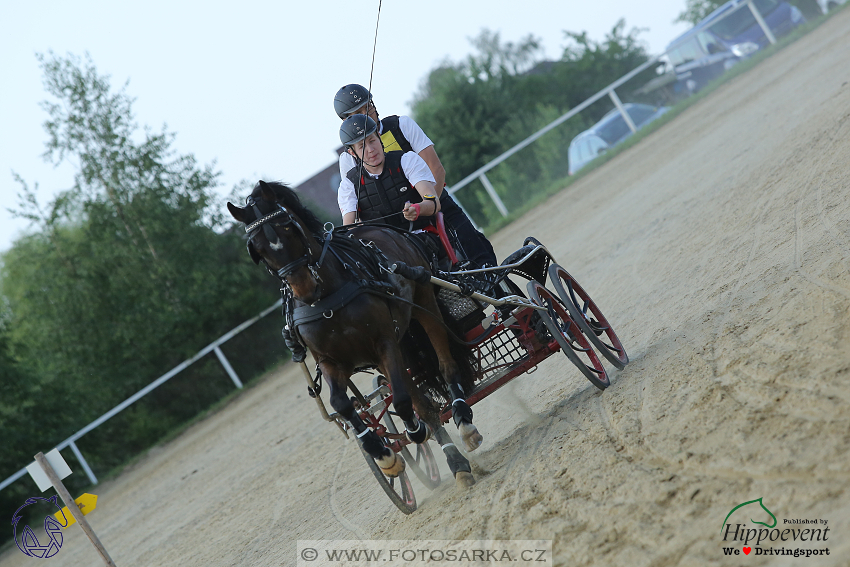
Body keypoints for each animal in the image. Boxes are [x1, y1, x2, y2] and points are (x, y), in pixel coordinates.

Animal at [225, 181, 480, 488]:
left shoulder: (384, 342)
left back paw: (462, 421)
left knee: (444, 363)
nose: (303, 288)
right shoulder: (331, 361)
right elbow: (342, 404)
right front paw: (383, 454)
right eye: (258, 249)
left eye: (288, 227)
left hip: (424, 304)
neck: (328, 299)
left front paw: (414, 431)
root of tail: (391, 229)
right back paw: (454, 461)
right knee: (422, 402)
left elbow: (402, 399)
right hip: (401, 341)